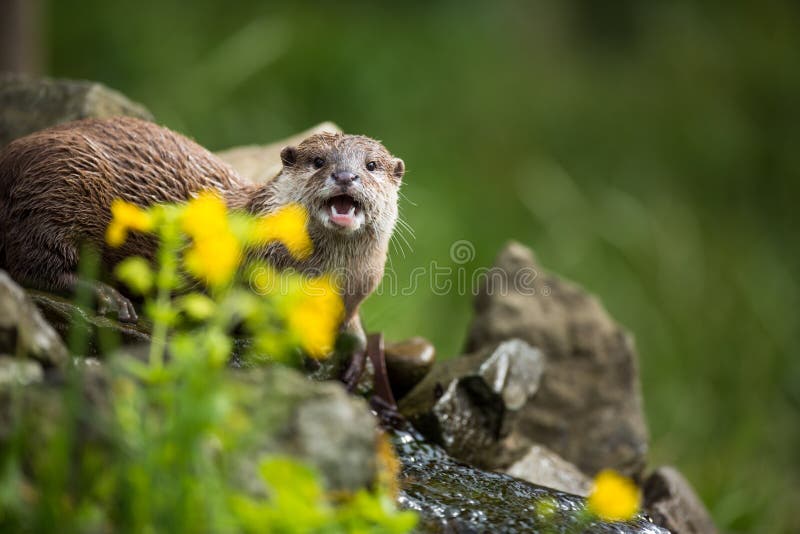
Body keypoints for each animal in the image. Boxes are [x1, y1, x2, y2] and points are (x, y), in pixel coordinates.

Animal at [0, 116, 404, 352]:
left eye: (371, 165)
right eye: (319, 161)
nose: (345, 175)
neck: (327, 275)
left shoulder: (358, 287)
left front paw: (358, 344)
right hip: (63, 181)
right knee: (31, 262)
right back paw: (108, 296)